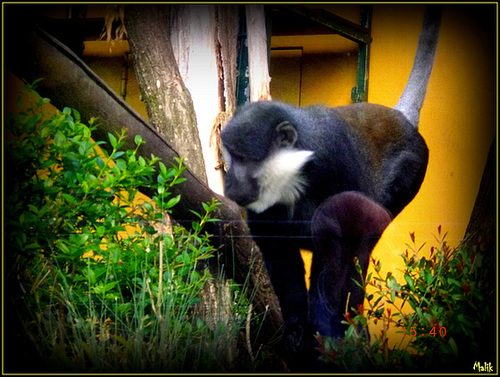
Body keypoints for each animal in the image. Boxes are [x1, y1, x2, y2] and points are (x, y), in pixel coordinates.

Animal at [221, 5, 440, 368]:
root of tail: (400, 117)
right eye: (229, 157)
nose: (230, 181)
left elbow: (349, 226)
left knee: (347, 229)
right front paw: (297, 331)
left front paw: (324, 332)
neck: (293, 176)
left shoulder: (333, 156)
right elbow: (281, 255)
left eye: (243, 159)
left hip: (412, 170)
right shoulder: (264, 214)